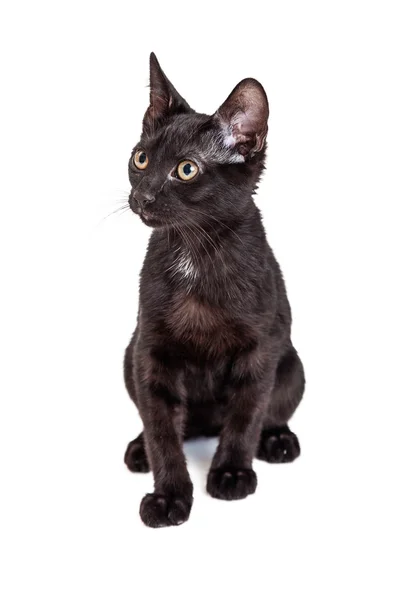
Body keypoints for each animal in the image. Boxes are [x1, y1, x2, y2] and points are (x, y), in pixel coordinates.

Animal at [123, 54, 304, 528]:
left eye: (186, 169)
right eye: (141, 159)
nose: (142, 197)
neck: (195, 253)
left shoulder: (260, 349)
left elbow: (246, 415)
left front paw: (231, 473)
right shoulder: (150, 354)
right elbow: (161, 429)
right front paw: (168, 496)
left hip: (292, 365)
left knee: (273, 411)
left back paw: (278, 441)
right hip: (128, 356)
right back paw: (139, 449)